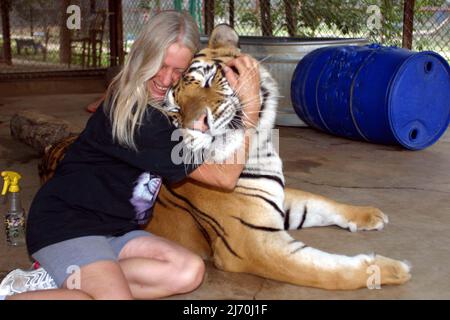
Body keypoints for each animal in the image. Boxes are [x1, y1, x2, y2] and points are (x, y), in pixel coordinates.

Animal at [39, 25, 412, 290]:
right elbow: (330, 271)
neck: (258, 148)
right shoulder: (254, 243)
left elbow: (322, 202)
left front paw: (370, 214)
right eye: (174, 109)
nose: (199, 124)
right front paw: (391, 269)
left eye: (208, 78)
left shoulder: (278, 199)